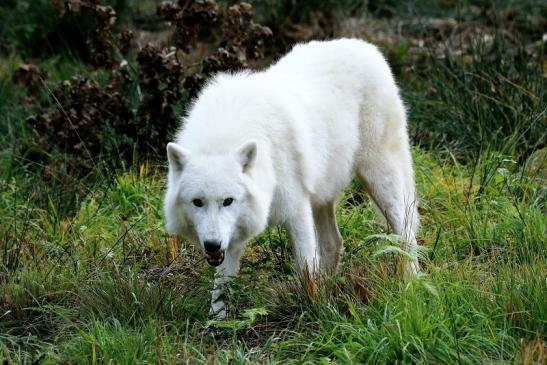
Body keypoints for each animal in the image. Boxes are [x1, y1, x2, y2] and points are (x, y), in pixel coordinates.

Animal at [164, 36, 420, 316]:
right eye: (198, 202)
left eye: (228, 201)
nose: (211, 244)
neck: (223, 136)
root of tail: (366, 46)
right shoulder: (234, 232)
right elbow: (222, 281)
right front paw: (217, 319)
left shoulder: (296, 208)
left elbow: (306, 267)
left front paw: (317, 308)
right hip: (322, 195)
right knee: (334, 242)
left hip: (379, 179)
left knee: (406, 232)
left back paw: (411, 285)